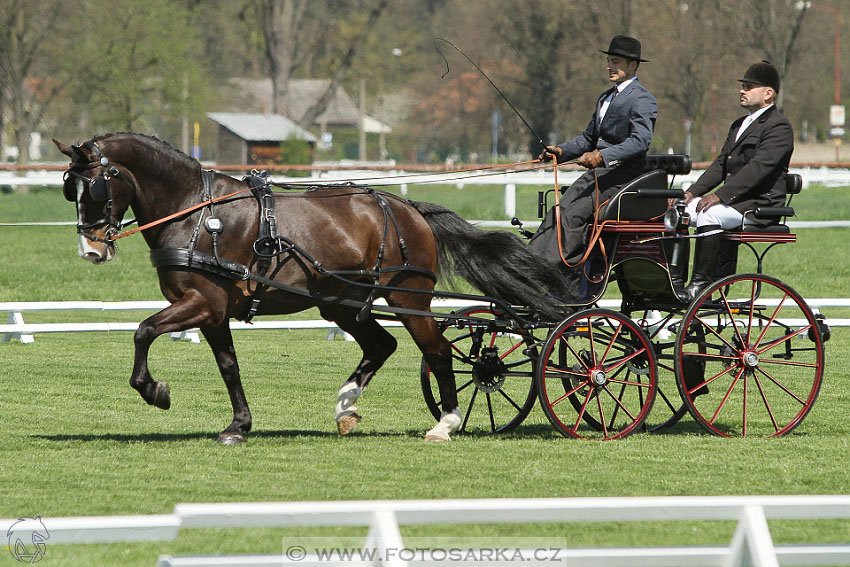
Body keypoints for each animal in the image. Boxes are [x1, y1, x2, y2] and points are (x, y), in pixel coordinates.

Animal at [54, 132, 564, 444]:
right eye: (68, 190)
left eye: (96, 188)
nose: (90, 250)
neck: (196, 212)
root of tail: (407, 207)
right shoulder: (213, 311)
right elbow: (229, 367)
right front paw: (238, 425)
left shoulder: (202, 302)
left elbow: (143, 331)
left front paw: (154, 390)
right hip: (341, 303)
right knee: (381, 345)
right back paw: (346, 407)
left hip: (408, 297)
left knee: (437, 350)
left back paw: (447, 422)